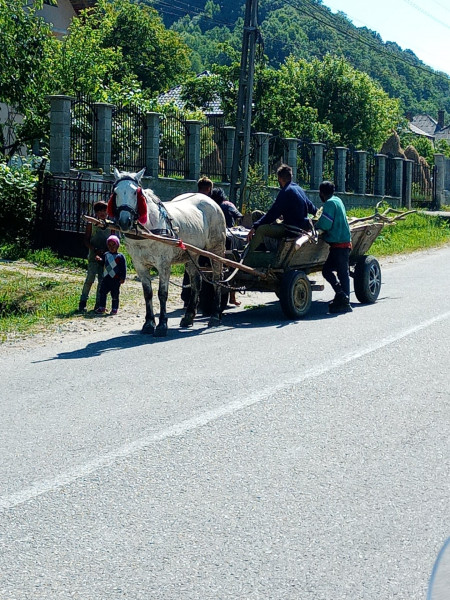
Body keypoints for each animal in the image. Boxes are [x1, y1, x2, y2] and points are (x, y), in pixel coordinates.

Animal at [107, 169, 227, 338]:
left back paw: (215, 315)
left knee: (217, 279)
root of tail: (210, 200)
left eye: (135, 192)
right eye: (116, 192)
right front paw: (149, 324)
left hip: (216, 250)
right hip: (191, 255)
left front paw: (162, 325)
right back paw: (188, 316)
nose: (125, 221)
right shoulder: (139, 265)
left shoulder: (163, 265)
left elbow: (162, 293)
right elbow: (148, 293)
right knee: (196, 282)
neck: (148, 231)